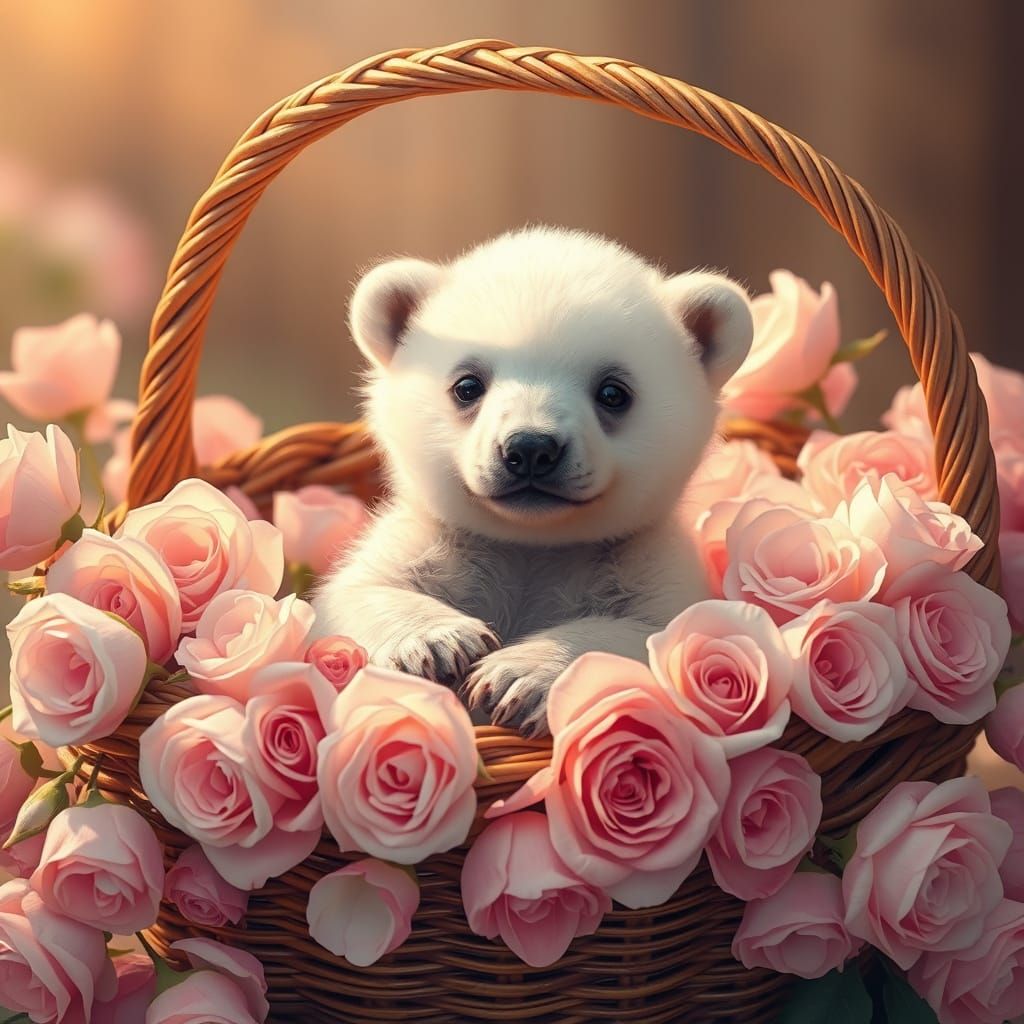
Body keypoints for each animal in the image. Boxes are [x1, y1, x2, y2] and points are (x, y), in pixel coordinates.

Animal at [312, 226, 753, 736]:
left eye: (613, 392)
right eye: (467, 385)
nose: (530, 450)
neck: (533, 543)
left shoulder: (648, 563)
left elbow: (655, 633)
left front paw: (519, 675)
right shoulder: (437, 540)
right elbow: (353, 595)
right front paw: (439, 643)